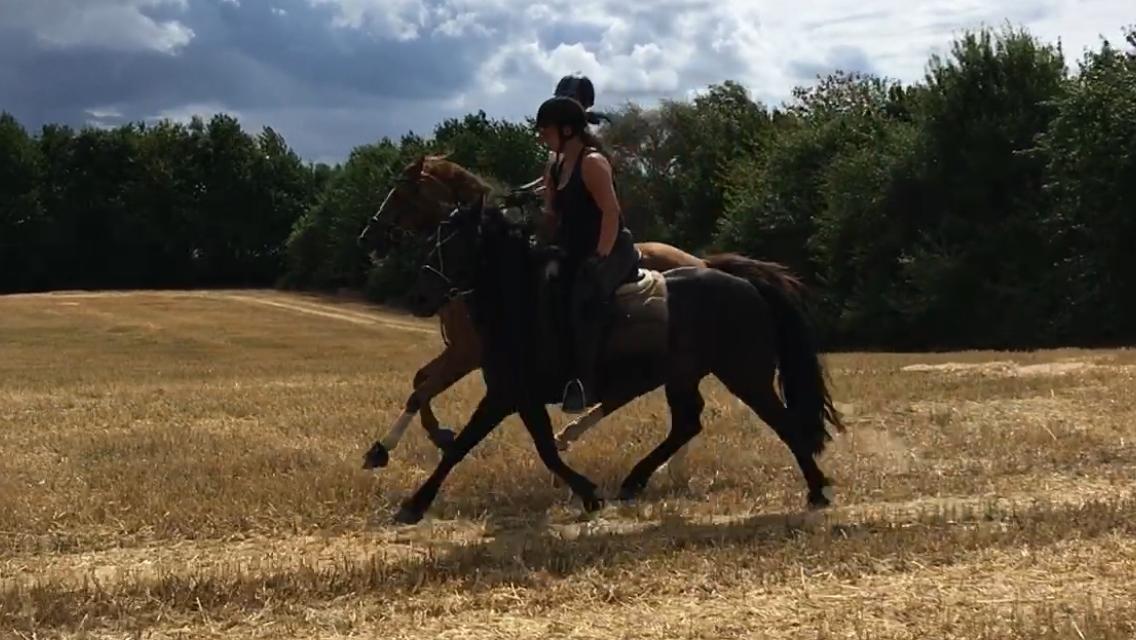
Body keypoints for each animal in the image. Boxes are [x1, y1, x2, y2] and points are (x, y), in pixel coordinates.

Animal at [358, 155, 795, 475]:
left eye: (401, 192)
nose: (368, 238)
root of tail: (701, 262)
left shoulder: (468, 355)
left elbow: (422, 389)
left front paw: (387, 447)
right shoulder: (463, 354)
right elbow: (420, 382)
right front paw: (435, 436)